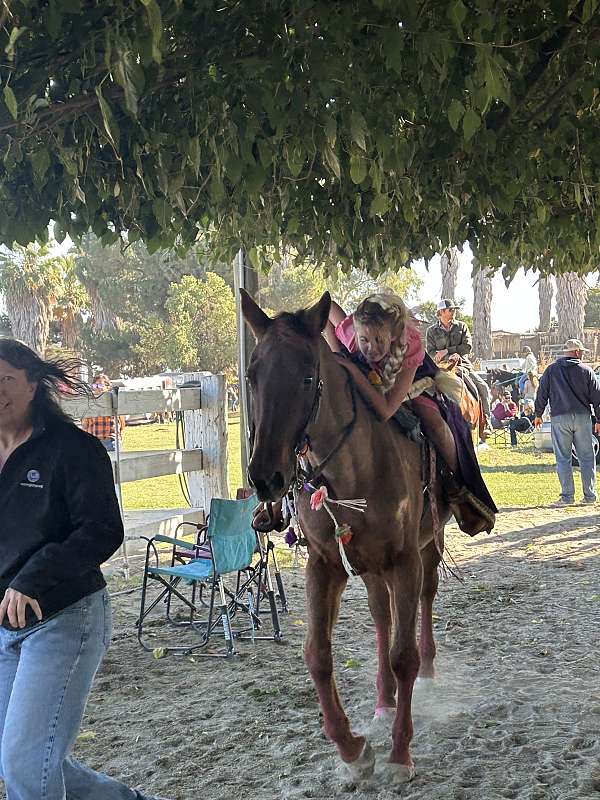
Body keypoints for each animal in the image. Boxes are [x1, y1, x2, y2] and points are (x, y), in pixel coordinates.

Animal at [240, 288, 450, 780]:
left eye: (306, 378)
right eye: (252, 375)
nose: (266, 478)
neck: (354, 468)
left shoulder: (405, 560)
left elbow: (404, 655)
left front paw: (400, 752)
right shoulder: (325, 564)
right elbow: (317, 654)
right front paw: (352, 749)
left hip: (427, 547)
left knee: (424, 601)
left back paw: (426, 674)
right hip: (370, 565)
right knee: (381, 616)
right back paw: (383, 700)